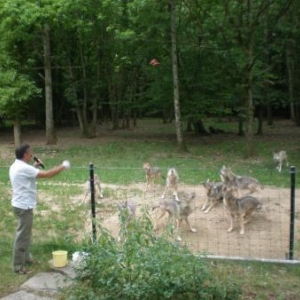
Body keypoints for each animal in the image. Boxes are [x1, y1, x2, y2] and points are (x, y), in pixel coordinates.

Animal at [8, 144, 70, 274]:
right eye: (30, 152)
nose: (35, 157)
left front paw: (37, 164)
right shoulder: (29, 170)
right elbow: (45, 173)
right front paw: (65, 164)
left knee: (26, 238)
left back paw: (28, 260)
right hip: (25, 216)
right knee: (21, 240)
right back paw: (20, 268)